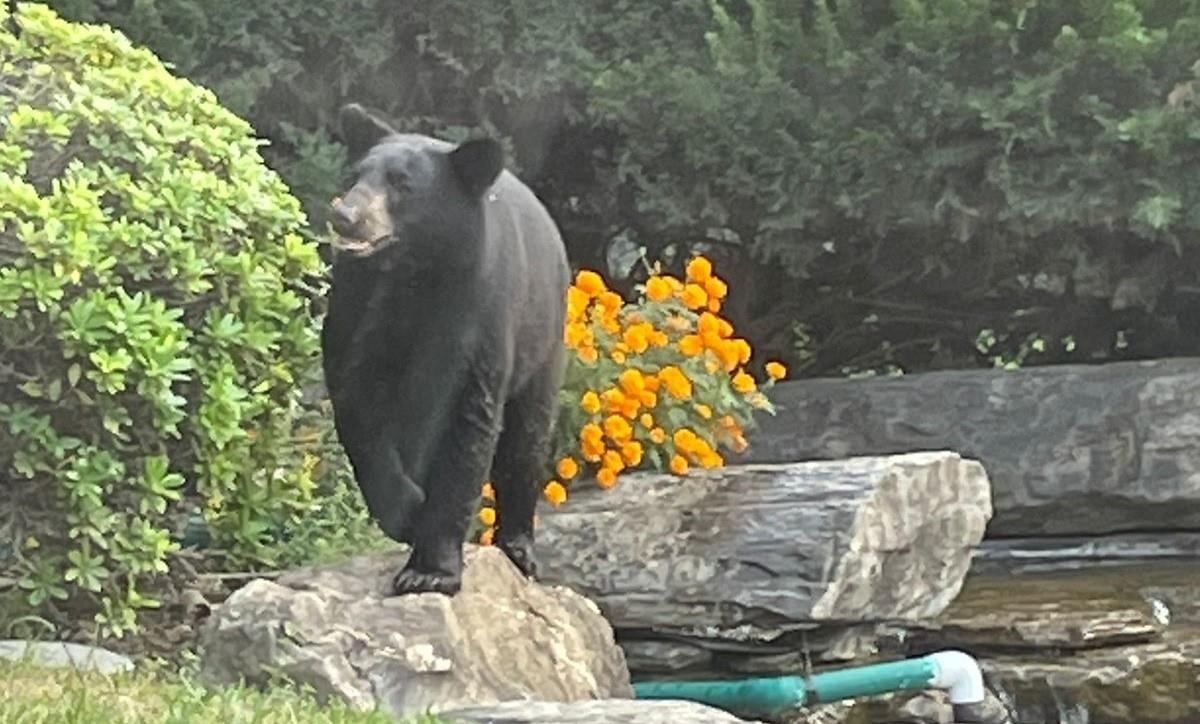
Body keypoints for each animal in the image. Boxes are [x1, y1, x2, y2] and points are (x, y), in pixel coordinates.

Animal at [321, 105, 568, 597]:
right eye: (357, 174)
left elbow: (467, 426)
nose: (346, 215)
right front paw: (403, 509)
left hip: (544, 338)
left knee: (526, 440)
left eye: (402, 183)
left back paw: (518, 548)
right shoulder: (360, 307)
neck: (415, 273)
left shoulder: (478, 314)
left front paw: (429, 571)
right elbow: (357, 401)